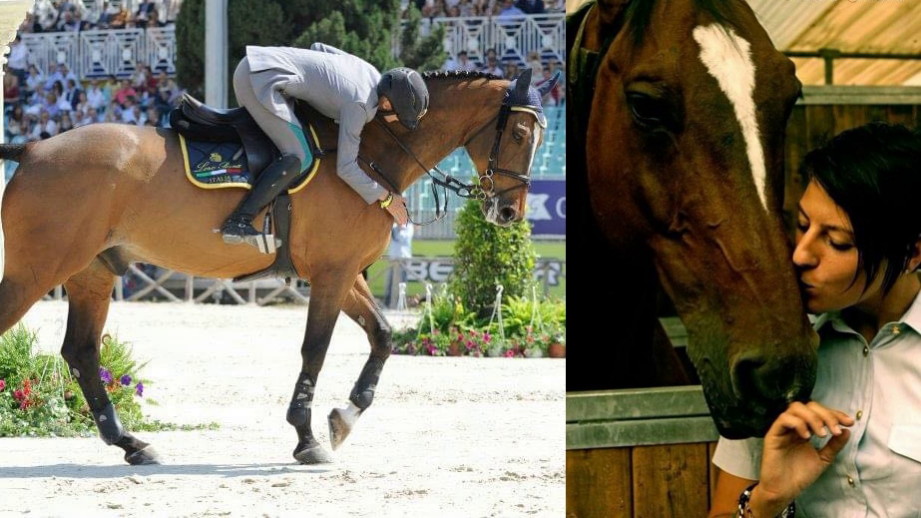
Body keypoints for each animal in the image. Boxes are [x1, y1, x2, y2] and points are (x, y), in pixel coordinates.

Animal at [0, 68, 558, 465]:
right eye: (519, 133)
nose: (510, 212)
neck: (373, 148)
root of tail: (33, 146)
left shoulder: (345, 274)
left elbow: (382, 335)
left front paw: (345, 417)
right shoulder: (331, 276)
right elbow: (316, 350)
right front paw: (308, 437)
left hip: (92, 274)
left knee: (81, 352)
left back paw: (132, 443)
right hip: (37, 272)